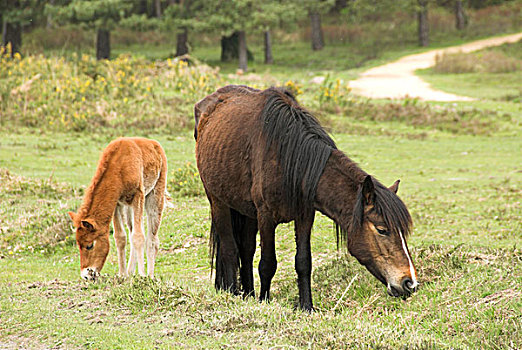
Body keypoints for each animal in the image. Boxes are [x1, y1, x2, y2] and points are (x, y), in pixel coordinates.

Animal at [193, 85, 416, 312]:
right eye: (382, 230)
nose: (409, 283)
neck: (291, 162)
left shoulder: (305, 216)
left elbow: (303, 261)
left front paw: (306, 306)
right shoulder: (266, 217)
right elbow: (267, 264)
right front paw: (264, 301)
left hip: (246, 211)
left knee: (246, 250)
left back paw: (248, 294)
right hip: (218, 201)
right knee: (229, 249)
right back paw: (233, 293)